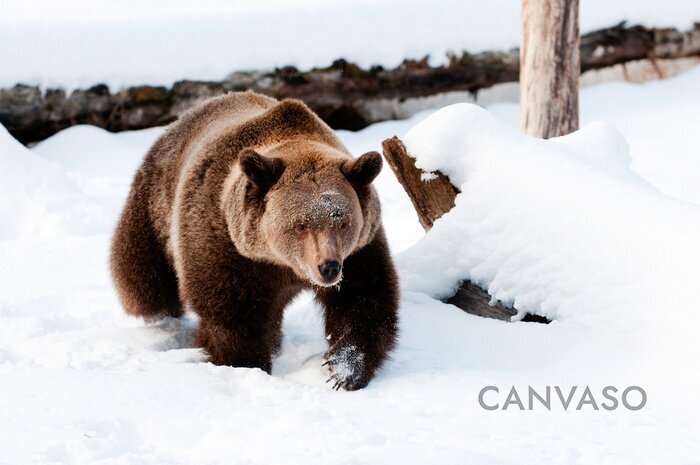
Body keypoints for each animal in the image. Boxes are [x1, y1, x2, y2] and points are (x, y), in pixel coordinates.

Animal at [110, 89, 400, 388]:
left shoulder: (359, 250)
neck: (281, 264)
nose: (328, 268)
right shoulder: (226, 247)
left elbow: (363, 300)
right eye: (300, 224)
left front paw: (344, 370)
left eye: (342, 221)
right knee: (144, 281)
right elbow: (232, 316)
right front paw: (246, 364)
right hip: (154, 206)